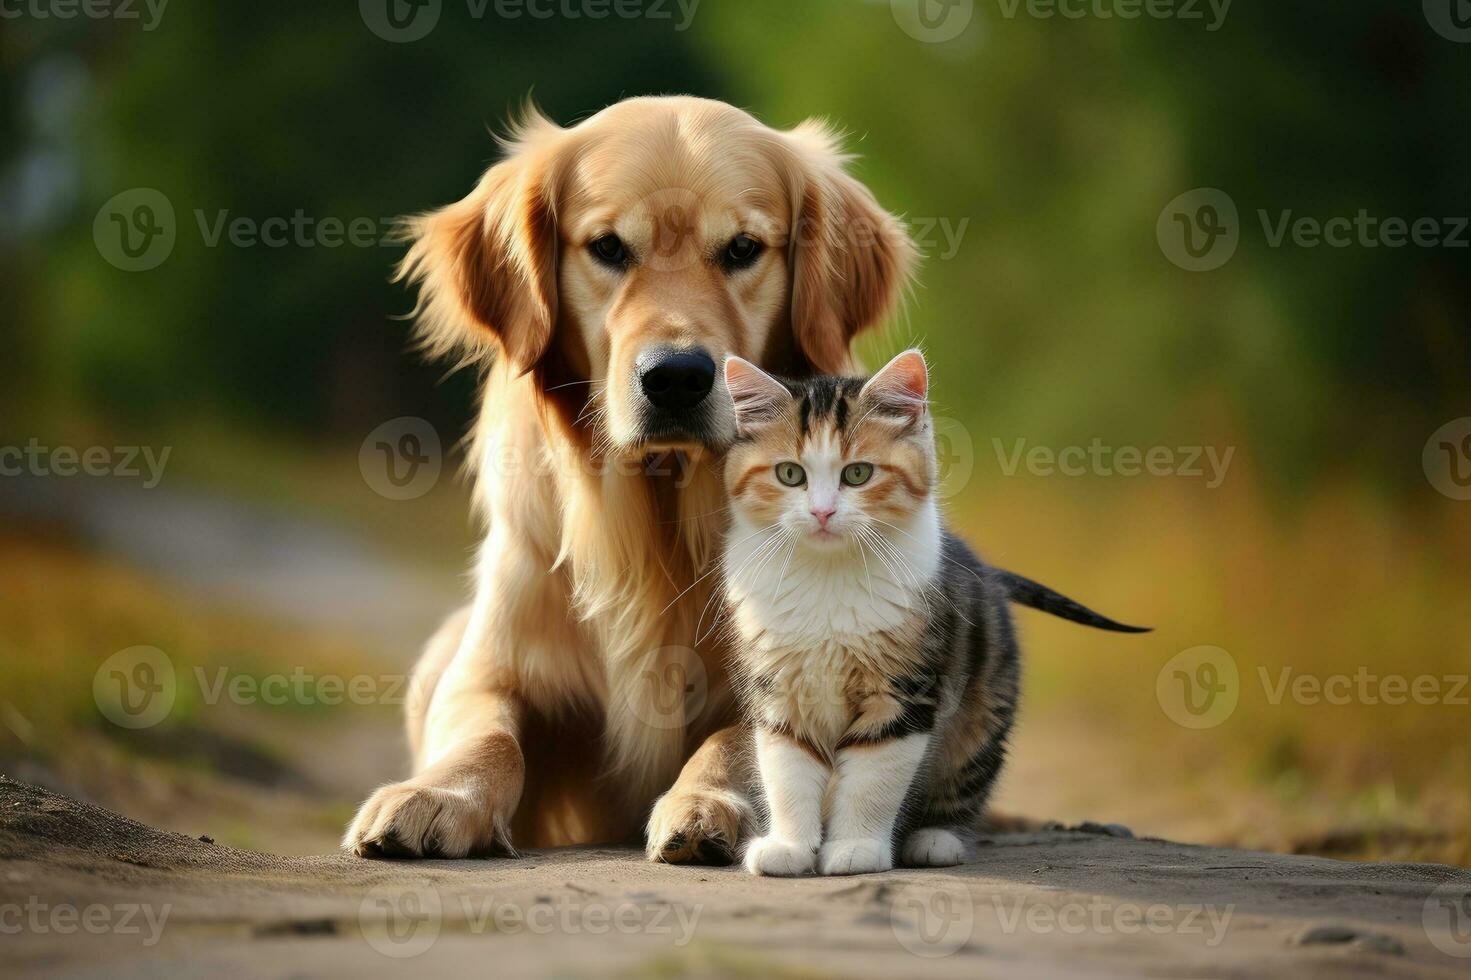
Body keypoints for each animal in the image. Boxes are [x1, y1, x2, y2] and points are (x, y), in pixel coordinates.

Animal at [345, 95, 912, 859]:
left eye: (742, 249)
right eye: (608, 247)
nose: (676, 377)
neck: (660, 523)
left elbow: (736, 737)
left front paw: (704, 802)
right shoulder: (489, 660)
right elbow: (484, 731)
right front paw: (439, 796)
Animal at [723, 353, 1147, 876]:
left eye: (858, 474)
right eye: (789, 475)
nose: (822, 513)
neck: (828, 576)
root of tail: (985, 571)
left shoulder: (905, 689)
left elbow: (872, 779)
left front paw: (856, 849)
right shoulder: (780, 689)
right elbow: (787, 770)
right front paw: (789, 847)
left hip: (980, 715)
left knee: (965, 779)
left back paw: (935, 839)